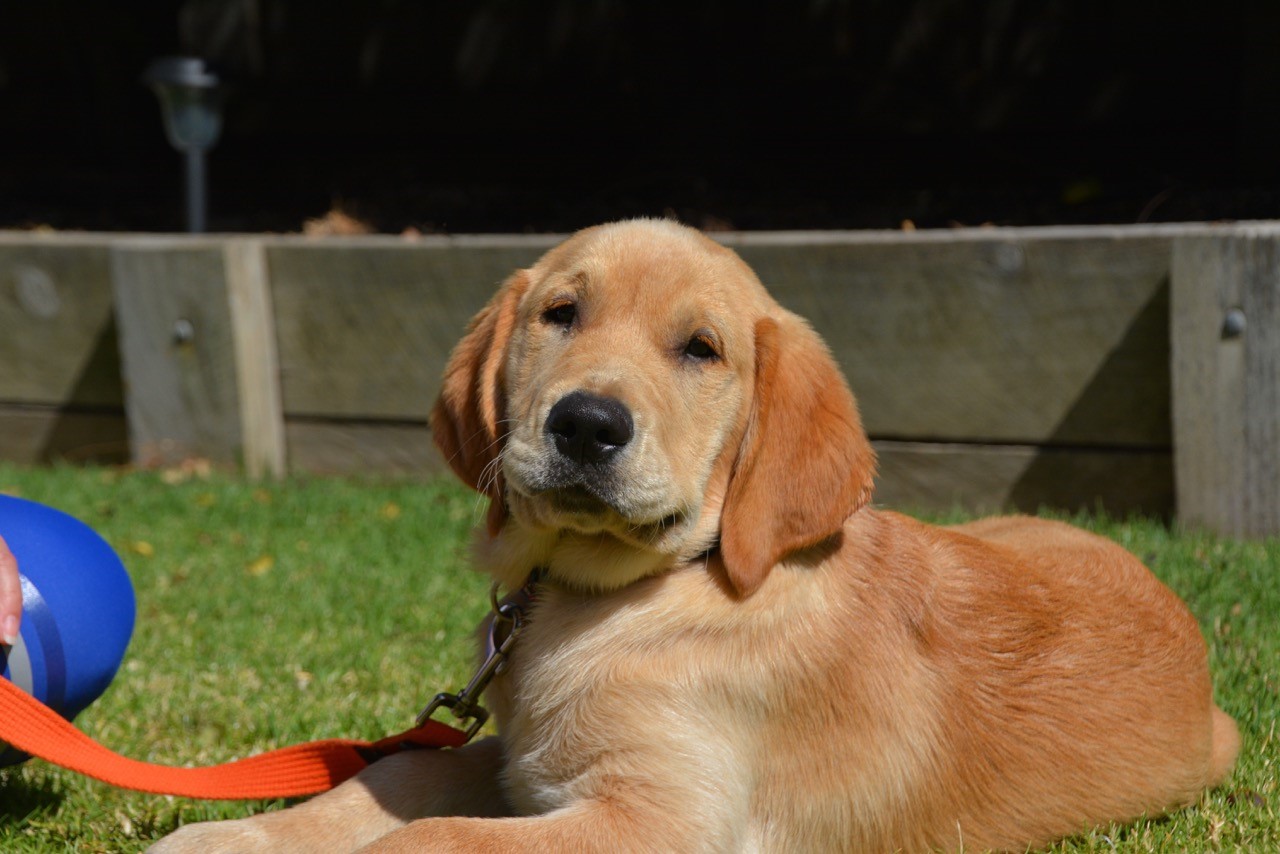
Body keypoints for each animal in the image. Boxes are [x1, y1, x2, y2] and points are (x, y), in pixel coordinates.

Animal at [152, 222, 1239, 854]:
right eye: (560, 313)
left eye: (701, 350)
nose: (586, 424)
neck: (624, 593)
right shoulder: (516, 753)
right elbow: (392, 775)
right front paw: (232, 837)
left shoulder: (660, 816)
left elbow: (436, 838)